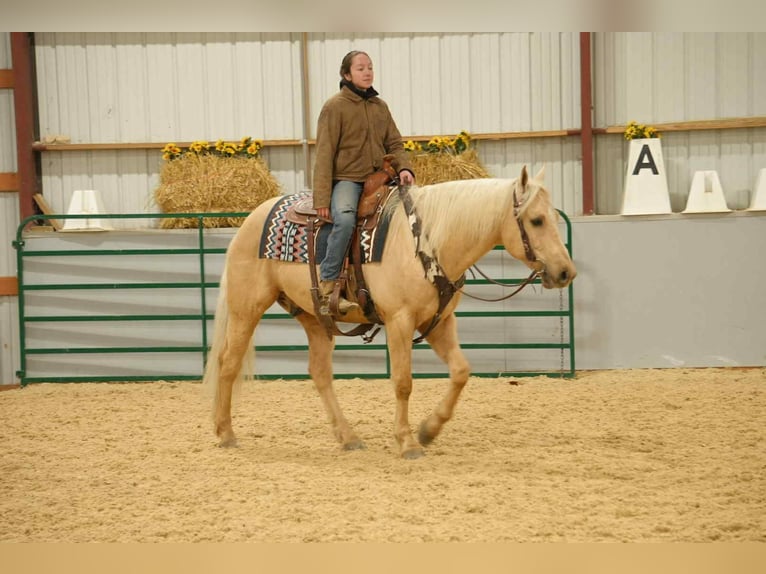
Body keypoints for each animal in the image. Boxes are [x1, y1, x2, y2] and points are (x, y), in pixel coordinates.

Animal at [203, 165, 576, 459]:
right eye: (536, 220)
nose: (565, 272)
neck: (428, 241)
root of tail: (249, 221)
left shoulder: (439, 322)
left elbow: (460, 371)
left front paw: (429, 430)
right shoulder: (400, 321)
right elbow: (403, 382)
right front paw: (408, 442)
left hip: (315, 317)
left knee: (320, 373)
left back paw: (348, 437)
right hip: (246, 309)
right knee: (228, 363)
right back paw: (225, 433)